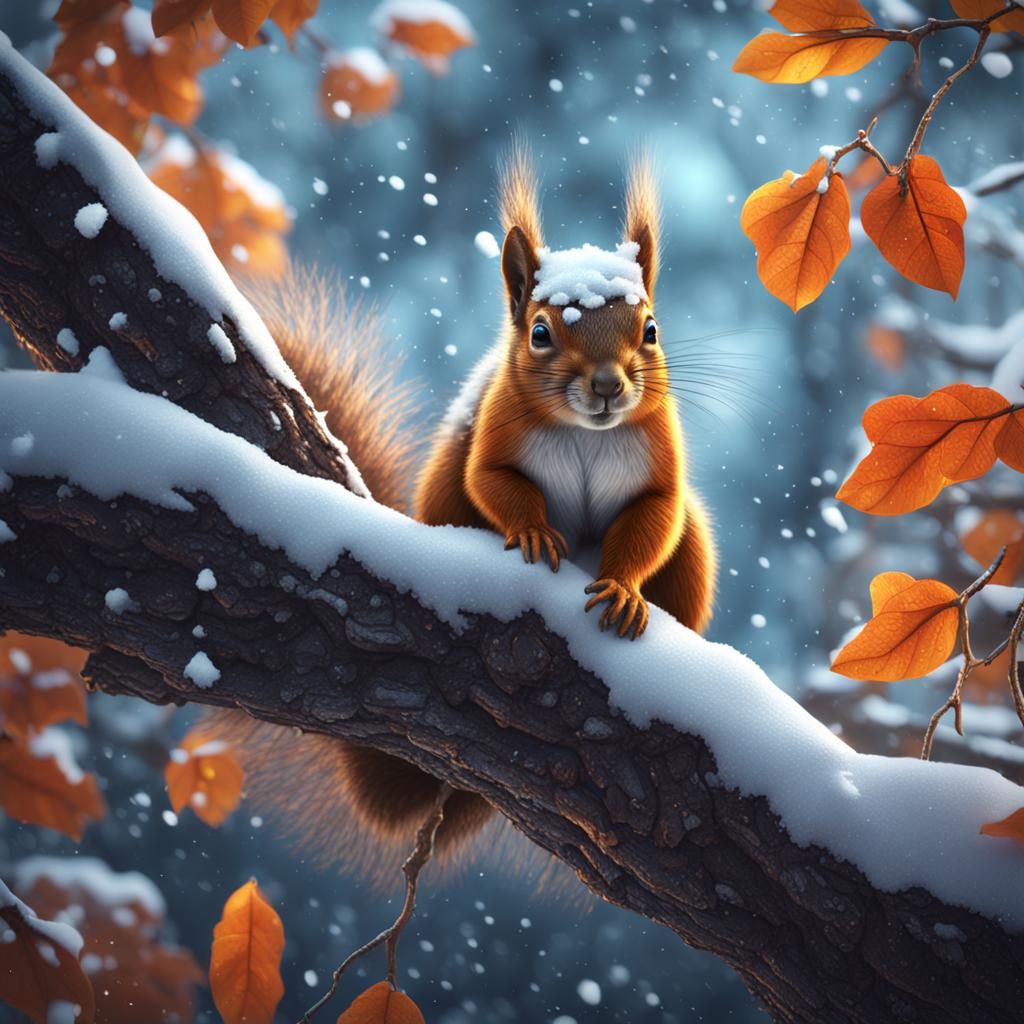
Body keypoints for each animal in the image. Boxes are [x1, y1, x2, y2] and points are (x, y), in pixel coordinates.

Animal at [214, 145, 717, 879]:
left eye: (650, 330)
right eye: (540, 332)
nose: (606, 385)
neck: (587, 434)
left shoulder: (660, 467)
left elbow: (655, 520)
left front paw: (623, 590)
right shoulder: (494, 438)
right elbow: (494, 484)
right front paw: (535, 532)